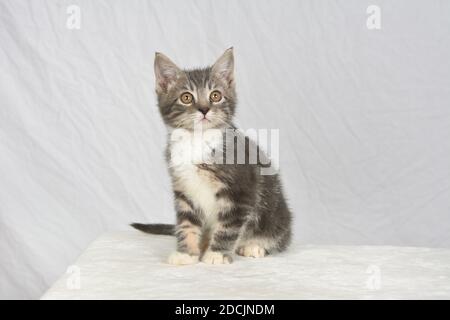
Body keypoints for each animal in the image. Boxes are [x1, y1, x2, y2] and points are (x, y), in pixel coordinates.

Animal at [132, 47, 292, 264]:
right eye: (186, 97)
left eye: (215, 95)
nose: (204, 109)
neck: (197, 140)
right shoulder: (184, 191)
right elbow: (186, 223)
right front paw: (186, 253)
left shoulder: (241, 192)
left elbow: (229, 225)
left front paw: (216, 254)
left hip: (275, 212)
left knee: (277, 235)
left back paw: (254, 246)